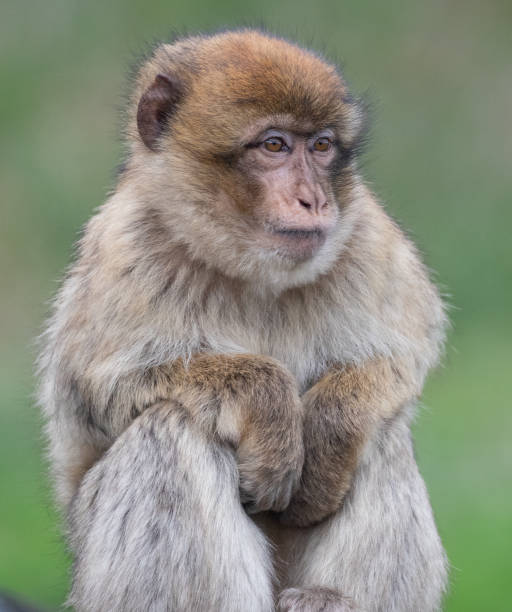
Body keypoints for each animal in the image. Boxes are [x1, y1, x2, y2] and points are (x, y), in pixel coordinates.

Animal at [38, 29, 448, 612]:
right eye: (273, 146)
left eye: (321, 146)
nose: (315, 199)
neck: (255, 273)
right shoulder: (125, 249)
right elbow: (96, 393)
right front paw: (268, 401)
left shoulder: (366, 236)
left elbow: (405, 356)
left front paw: (329, 432)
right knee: (172, 428)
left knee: (384, 429)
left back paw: (328, 596)